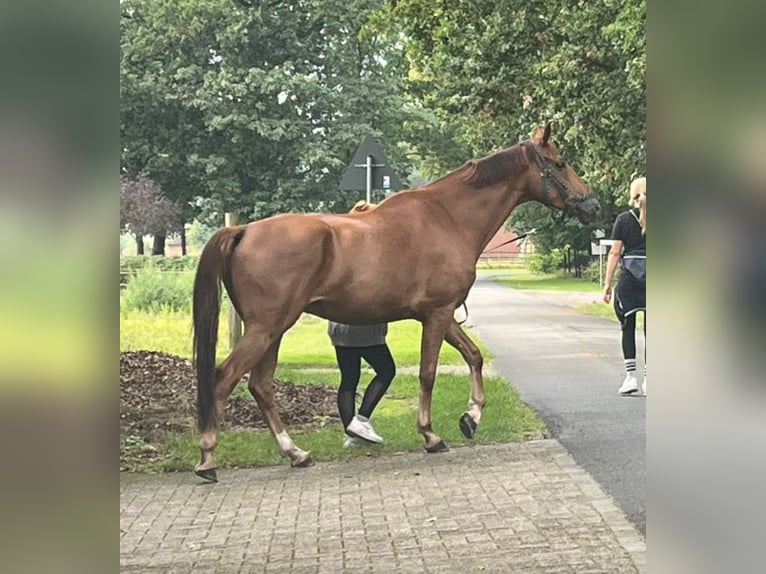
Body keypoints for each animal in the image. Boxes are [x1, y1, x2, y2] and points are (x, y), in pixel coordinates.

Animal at [192, 124, 600, 484]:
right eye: (560, 162)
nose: (593, 204)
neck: (449, 218)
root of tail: (243, 230)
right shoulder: (437, 314)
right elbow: (428, 373)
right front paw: (431, 435)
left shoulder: (441, 314)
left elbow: (474, 356)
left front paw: (471, 417)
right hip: (266, 328)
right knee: (225, 377)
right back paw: (208, 458)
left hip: (272, 330)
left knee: (261, 385)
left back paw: (295, 453)